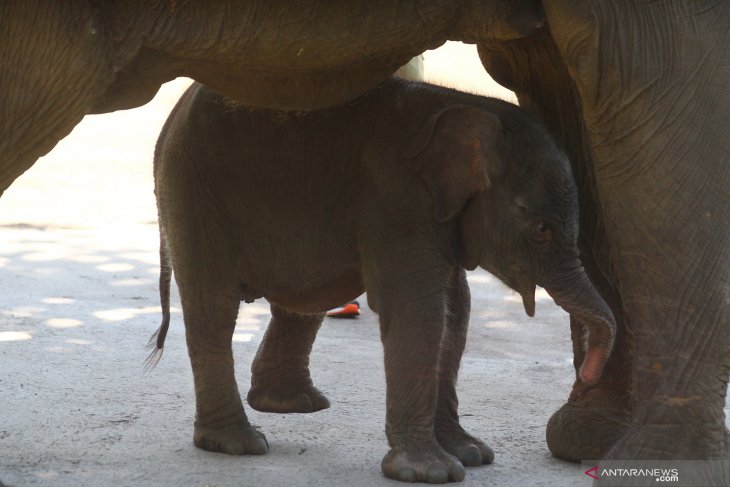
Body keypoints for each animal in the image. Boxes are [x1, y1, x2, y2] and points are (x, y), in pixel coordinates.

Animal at [151, 78, 612, 482]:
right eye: (541, 230)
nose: (586, 377)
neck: (471, 108)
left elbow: (454, 312)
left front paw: (471, 454)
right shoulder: (397, 200)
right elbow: (418, 309)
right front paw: (433, 473)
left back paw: (294, 405)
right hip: (194, 190)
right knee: (214, 304)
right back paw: (237, 444)